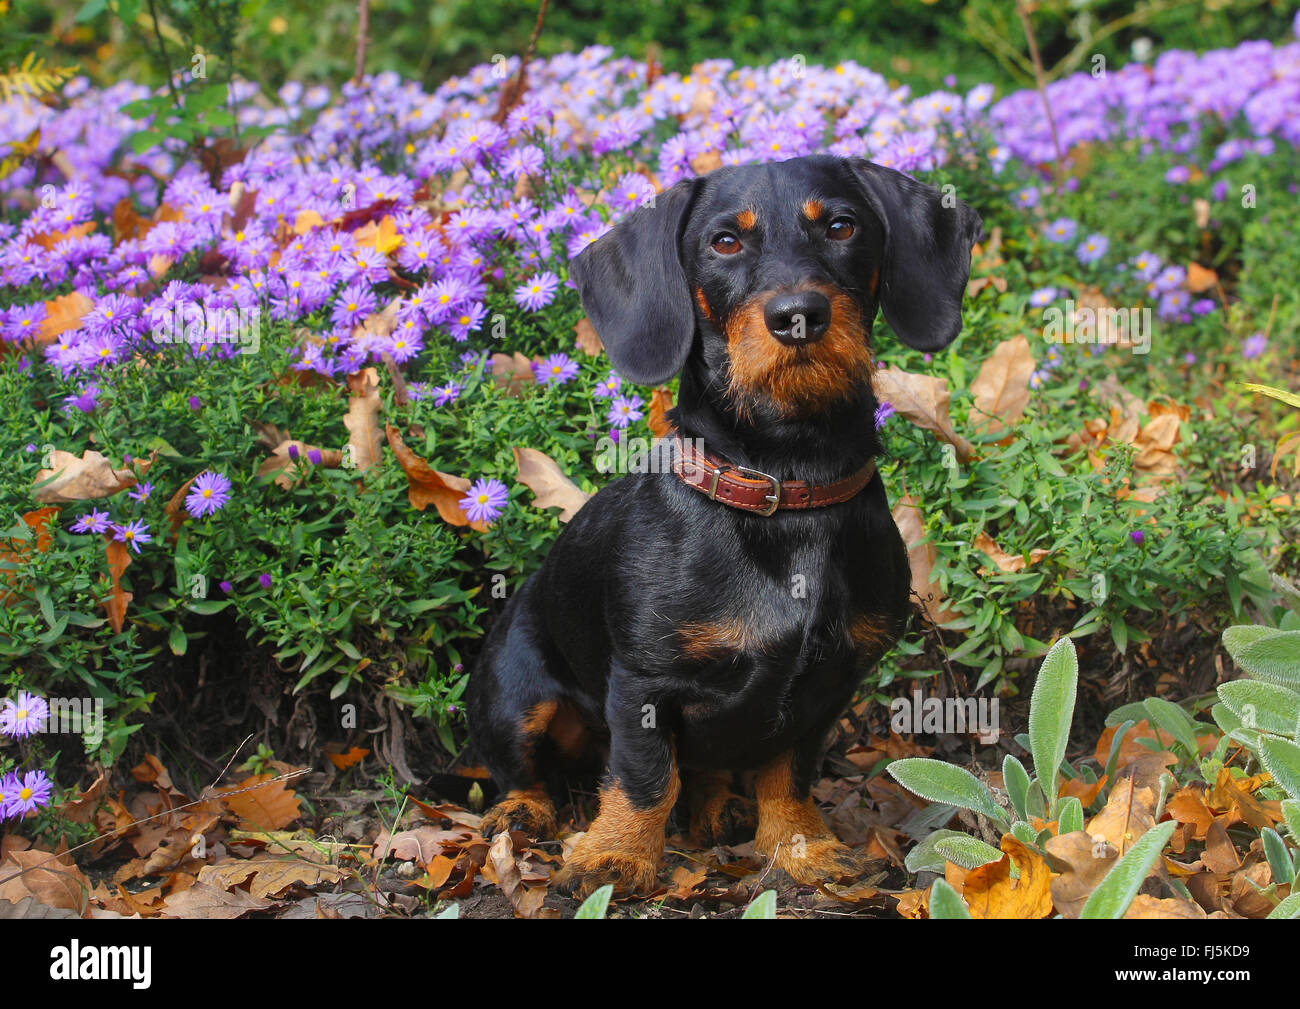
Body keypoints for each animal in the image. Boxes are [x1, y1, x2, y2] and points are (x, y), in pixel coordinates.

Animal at [467, 155, 977, 899]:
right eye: (725, 242)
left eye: (842, 226)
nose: (799, 317)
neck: (786, 486)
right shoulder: (643, 682)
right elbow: (646, 777)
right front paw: (616, 856)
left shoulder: (829, 686)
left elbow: (789, 773)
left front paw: (801, 848)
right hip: (514, 697)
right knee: (524, 770)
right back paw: (526, 812)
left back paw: (720, 811)